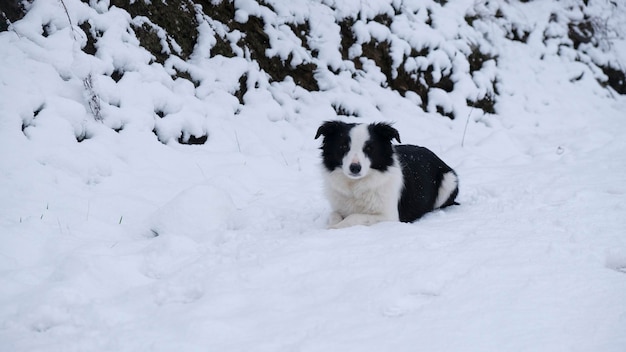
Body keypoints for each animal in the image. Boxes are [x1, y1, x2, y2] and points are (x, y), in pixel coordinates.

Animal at [314, 119, 456, 230]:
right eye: (343, 146)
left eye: (369, 148)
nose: (355, 168)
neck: (356, 186)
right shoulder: (338, 208)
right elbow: (334, 215)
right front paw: (333, 224)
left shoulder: (389, 216)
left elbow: (354, 217)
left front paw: (334, 227)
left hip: (450, 181)